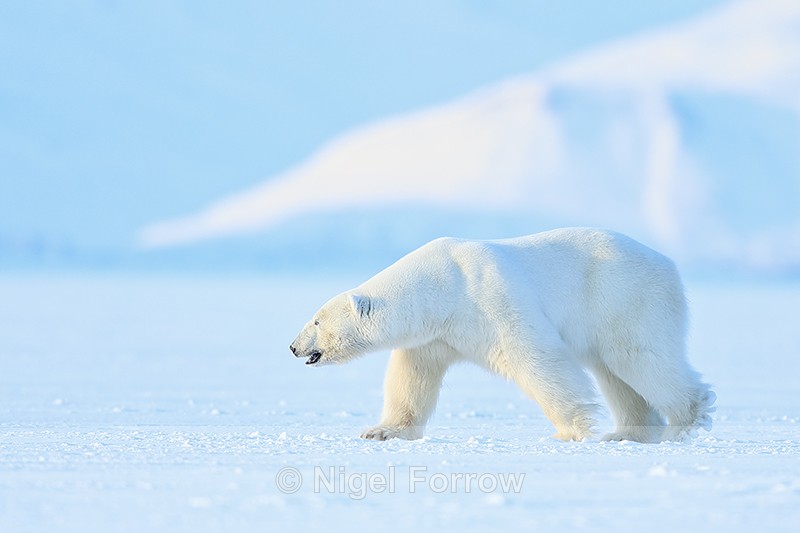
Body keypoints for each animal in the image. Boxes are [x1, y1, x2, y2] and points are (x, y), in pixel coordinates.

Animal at [289, 227, 715, 443]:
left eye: (316, 321)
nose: (293, 347)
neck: (444, 284)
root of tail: (669, 264)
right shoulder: (436, 334)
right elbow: (412, 376)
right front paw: (381, 431)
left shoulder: (489, 297)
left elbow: (534, 357)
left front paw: (571, 431)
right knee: (617, 374)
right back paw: (628, 433)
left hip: (626, 298)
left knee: (638, 357)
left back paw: (688, 421)